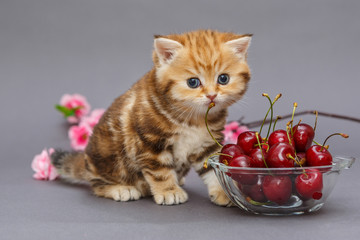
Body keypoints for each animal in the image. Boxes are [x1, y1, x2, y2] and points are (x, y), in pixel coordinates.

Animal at [52, 29, 252, 206]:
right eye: (193, 82)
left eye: (223, 79)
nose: (211, 96)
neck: (192, 119)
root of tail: (86, 162)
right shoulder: (149, 143)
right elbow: (160, 172)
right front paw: (169, 191)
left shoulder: (207, 144)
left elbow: (213, 169)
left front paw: (224, 192)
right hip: (108, 158)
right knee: (96, 183)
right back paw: (121, 188)